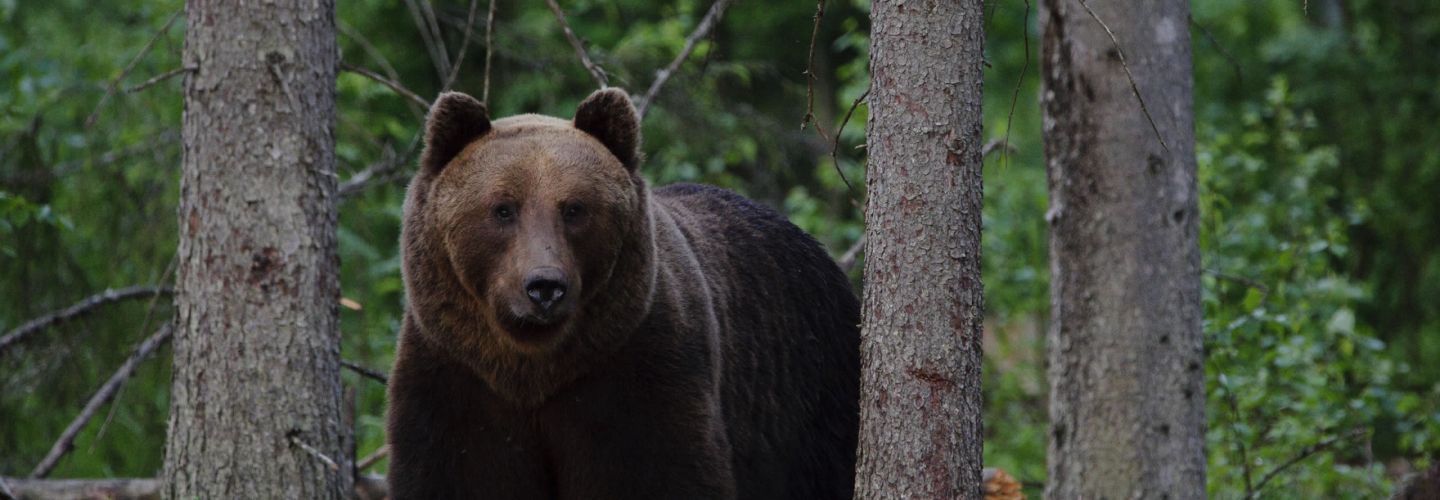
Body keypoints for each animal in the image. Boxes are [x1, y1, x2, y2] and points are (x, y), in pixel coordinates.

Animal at [383, 88, 858, 498]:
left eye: (574, 208)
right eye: (502, 209)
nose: (544, 287)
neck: (532, 368)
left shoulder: (638, 371)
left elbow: (658, 474)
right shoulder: (456, 377)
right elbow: (455, 474)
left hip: (811, 393)